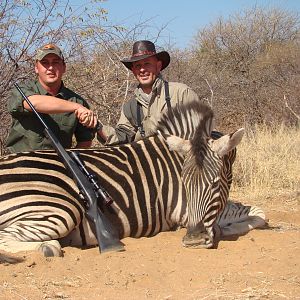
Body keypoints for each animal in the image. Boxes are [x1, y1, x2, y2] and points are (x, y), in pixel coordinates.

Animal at [0, 101, 266, 255]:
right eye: (185, 184)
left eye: (214, 184)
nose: (194, 241)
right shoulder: (182, 211)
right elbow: (258, 214)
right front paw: (227, 228)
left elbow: (258, 213)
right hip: (61, 209)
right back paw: (48, 247)